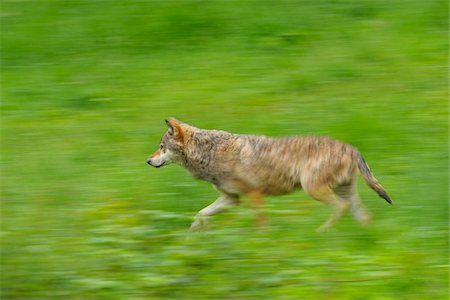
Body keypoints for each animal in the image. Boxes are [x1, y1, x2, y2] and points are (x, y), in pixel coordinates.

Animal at [147, 118, 390, 231]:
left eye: (161, 147)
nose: (148, 161)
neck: (210, 152)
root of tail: (351, 147)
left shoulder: (255, 194)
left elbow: (261, 224)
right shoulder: (231, 199)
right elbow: (200, 214)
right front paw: (191, 236)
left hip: (314, 189)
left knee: (341, 208)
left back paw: (322, 232)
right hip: (343, 191)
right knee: (365, 216)